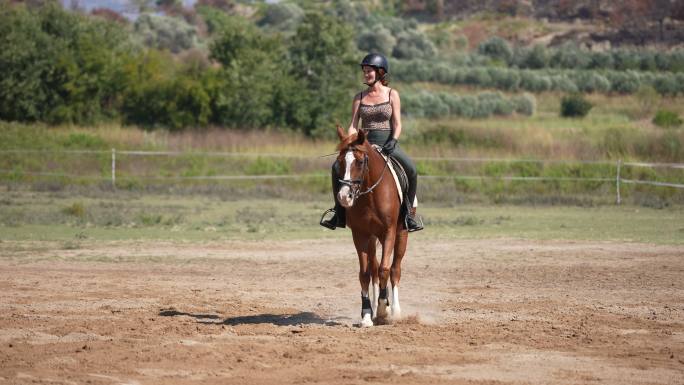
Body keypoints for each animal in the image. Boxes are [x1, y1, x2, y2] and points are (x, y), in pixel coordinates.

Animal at [336, 126, 408, 328]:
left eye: (360, 162)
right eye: (339, 163)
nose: (344, 197)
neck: (370, 194)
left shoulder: (389, 232)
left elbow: (385, 269)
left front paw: (384, 308)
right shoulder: (360, 234)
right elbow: (365, 273)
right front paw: (367, 315)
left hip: (401, 234)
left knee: (394, 269)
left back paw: (395, 311)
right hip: (372, 239)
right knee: (374, 270)